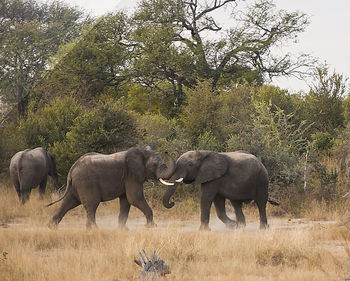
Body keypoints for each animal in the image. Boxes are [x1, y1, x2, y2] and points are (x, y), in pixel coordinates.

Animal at [47, 145, 176, 229]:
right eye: (154, 165)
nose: (173, 202)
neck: (142, 151)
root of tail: (72, 169)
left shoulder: (127, 178)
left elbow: (126, 201)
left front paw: (123, 230)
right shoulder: (131, 175)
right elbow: (134, 198)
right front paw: (152, 227)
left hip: (76, 185)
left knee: (68, 203)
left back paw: (50, 227)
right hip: (86, 183)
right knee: (91, 205)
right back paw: (94, 229)